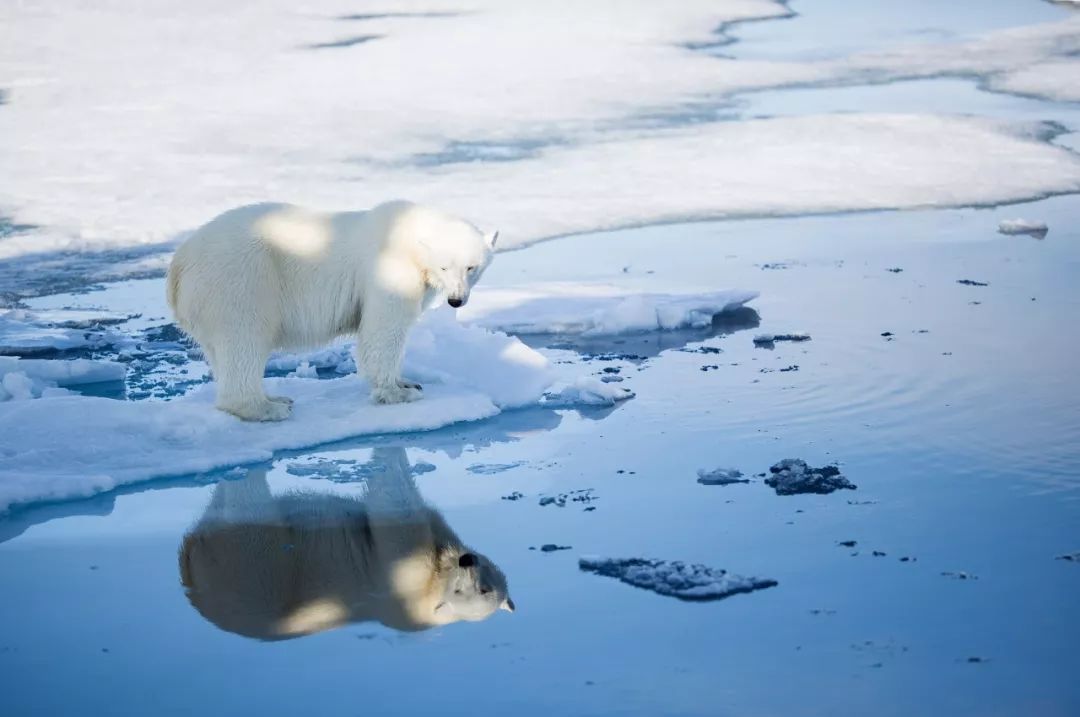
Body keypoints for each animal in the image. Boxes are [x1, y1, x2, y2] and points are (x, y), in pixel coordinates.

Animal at [167, 198, 496, 421]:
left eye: (472, 267)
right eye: (445, 266)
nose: (456, 300)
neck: (409, 233)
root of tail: (179, 264)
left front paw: (407, 380)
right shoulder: (389, 269)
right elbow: (383, 330)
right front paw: (399, 392)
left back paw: (275, 398)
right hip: (239, 279)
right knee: (244, 338)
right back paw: (268, 408)